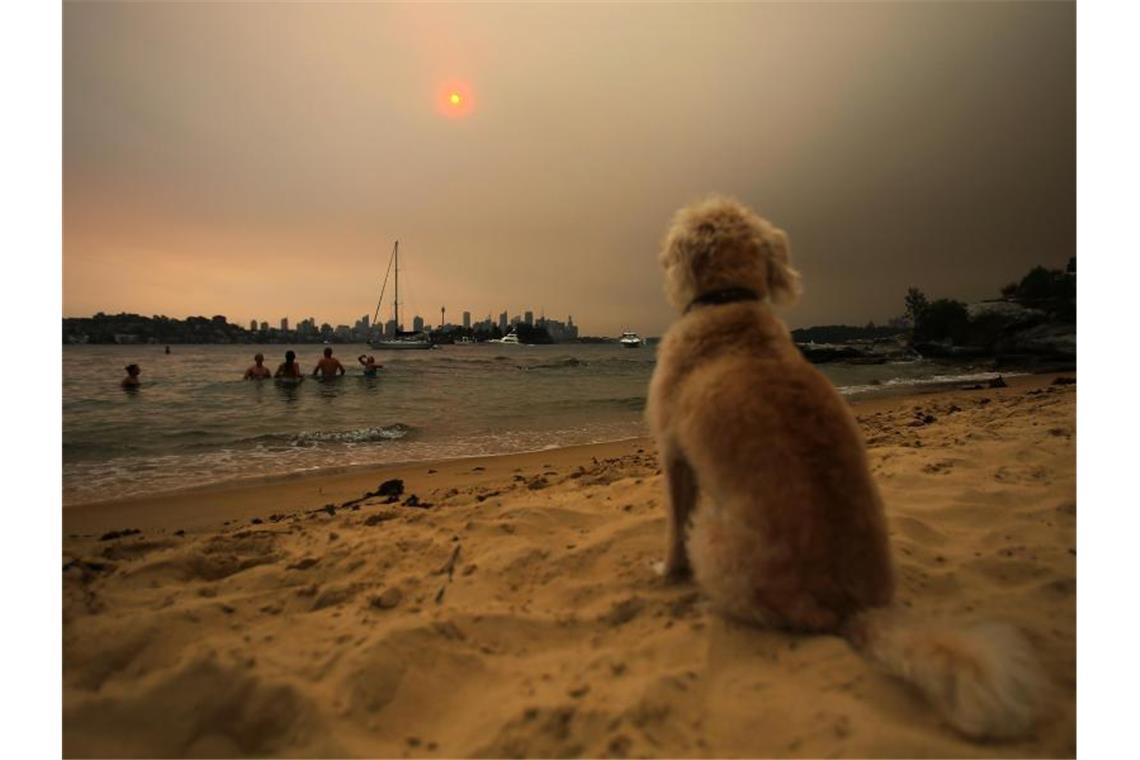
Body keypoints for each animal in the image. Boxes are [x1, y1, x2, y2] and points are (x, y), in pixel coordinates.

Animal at [647, 194, 1044, 738]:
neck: (730, 305)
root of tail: (852, 609)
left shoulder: (674, 452)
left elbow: (671, 524)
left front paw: (666, 571)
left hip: (713, 536)